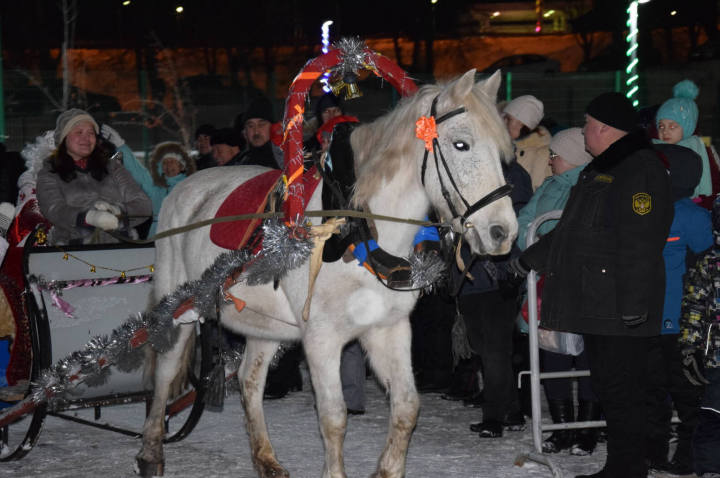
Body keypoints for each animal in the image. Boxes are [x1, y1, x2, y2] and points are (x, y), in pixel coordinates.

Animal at [136, 70, 516, 478]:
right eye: (461, 144)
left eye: (504, 152)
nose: (503, 232)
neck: (358, 229)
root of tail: (185, 186)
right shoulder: (321, 338)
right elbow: (333, 416)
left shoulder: (389, 329)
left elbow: (407, 407)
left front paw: (388, 469)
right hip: (179, 307)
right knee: (164, 373)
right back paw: (151, 452)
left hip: (264, 323)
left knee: (250, 380)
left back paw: (266, 459)